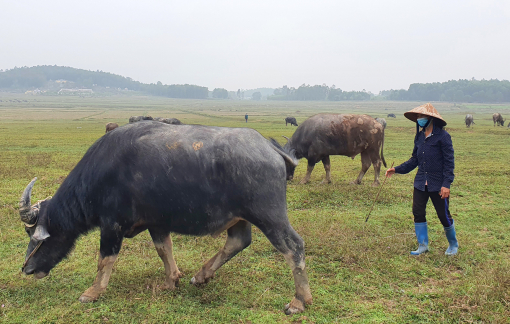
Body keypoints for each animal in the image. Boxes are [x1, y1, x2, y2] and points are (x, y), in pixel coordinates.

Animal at [18, 121, 310, 314]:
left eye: (36, 236)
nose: (27, 269)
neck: (103, 174)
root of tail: (270, 149)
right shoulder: (156, 224)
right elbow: (164, 249)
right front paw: (172, 280)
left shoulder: (111, 226)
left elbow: (105, 259)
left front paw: (92, 292)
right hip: (241, 218)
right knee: (238, 241)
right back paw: (201, 276)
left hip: (270, 217)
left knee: (293, 247)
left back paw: (299, 301)